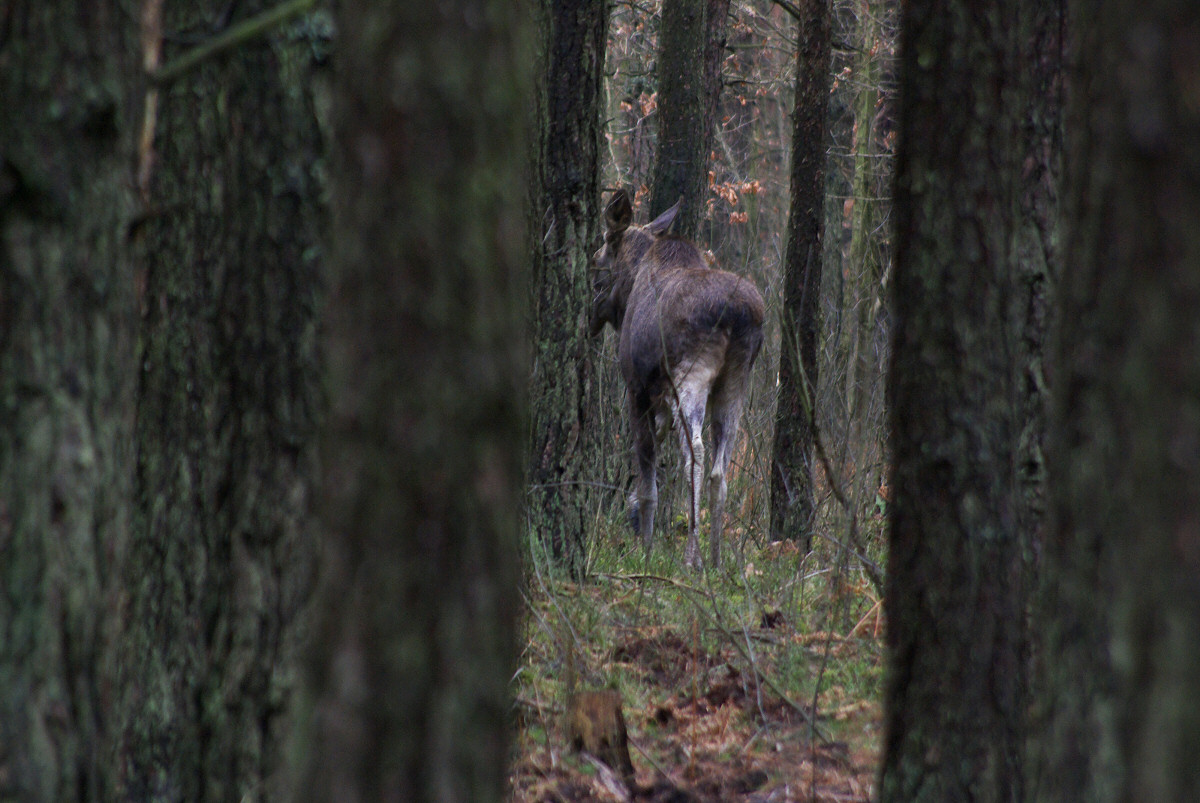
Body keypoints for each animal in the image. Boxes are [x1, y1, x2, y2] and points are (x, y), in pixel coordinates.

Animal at [590, 188, 768, 566]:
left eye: (597, 259)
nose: (590, 316)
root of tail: (738, 315)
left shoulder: (637, 391)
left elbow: (648, 482)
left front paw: (645, 547)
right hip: (737, 380)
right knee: (721, 468)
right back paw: (716, 559)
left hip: (692, 374)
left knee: (696, 454)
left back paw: (692, 557)